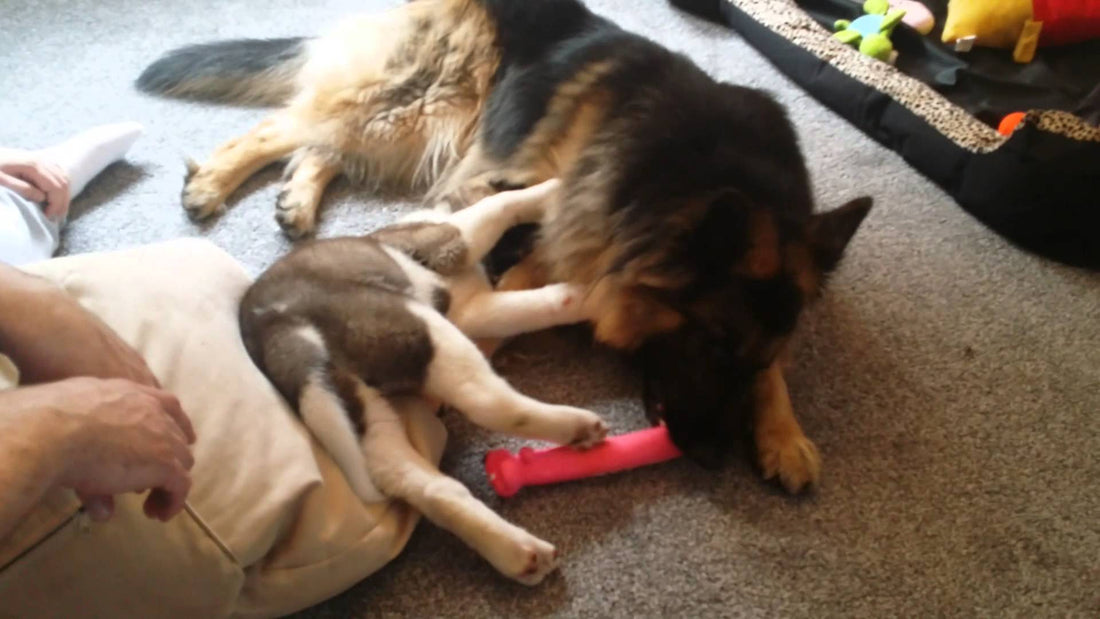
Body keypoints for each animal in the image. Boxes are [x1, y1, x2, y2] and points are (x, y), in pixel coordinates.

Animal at [137, 0, 871, 494]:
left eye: (755, 358)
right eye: (711, 344)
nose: (716, 460)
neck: (679, 182)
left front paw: (785, 434)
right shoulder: (558, 234)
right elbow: (509, 293)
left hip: (426, 126)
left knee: (324, 146)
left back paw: (299, 196)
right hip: (414, 104)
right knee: (285, 127)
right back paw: (215, 180)